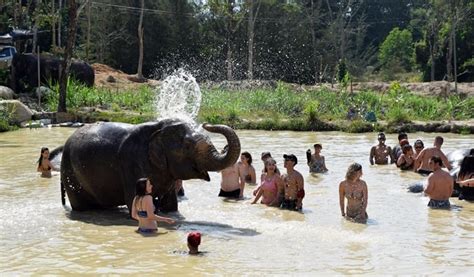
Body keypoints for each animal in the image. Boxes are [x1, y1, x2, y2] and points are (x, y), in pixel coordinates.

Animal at [59, 118, 241, 211]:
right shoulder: (131, 162)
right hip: (70, 172)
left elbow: (171, 205)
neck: (158, 128)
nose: (206, 124)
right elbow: (133, 200)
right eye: (188, 146)